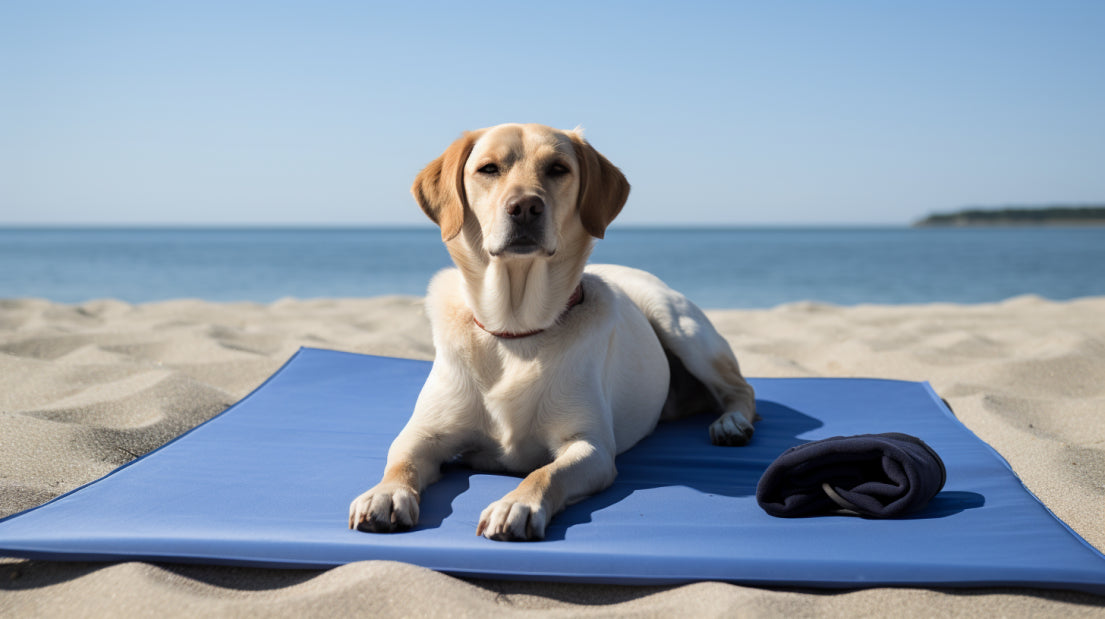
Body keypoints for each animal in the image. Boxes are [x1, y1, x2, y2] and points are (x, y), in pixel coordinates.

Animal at [349, 123, 755, 539]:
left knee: (740, 389)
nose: (525, 207)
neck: (515, 330)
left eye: (558, 169)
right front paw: (386, 493)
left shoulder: (590, 446)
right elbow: (402, 461)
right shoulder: (423, 435)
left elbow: (546, 473)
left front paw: (516, 504)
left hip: (678, 323)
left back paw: (731, 423)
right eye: (489, 168)